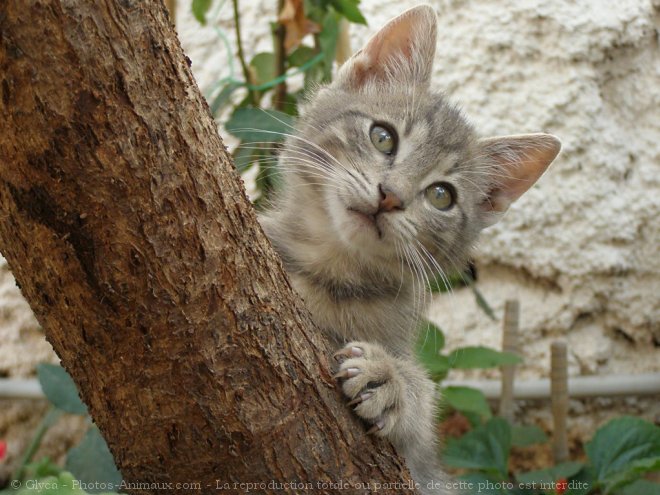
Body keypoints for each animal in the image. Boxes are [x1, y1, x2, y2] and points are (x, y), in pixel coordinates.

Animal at [260, 4, 560, 495]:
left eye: (441, 195)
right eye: (383, 136)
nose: (390, 196)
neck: (332, 274)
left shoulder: (420, 465)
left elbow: (424, 412)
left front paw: (395, 383)